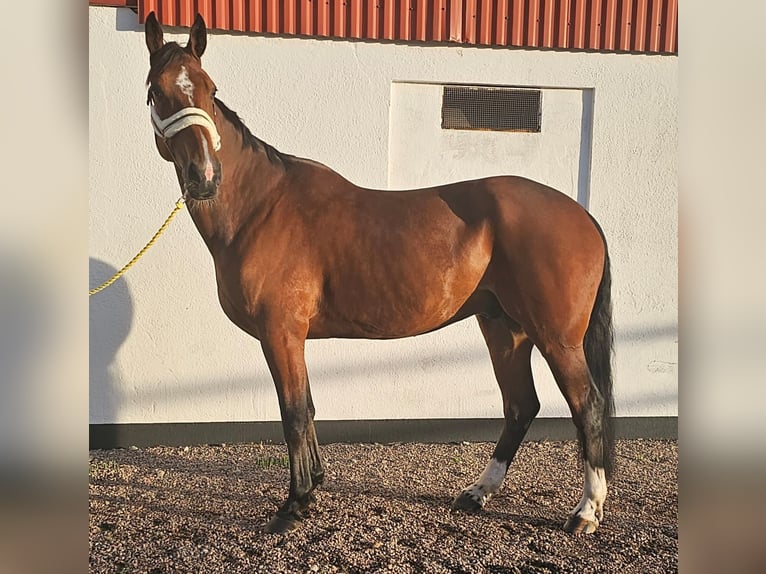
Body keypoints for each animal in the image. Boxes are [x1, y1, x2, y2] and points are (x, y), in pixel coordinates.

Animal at [144, 11, 616, 536]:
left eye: (209, 88)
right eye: (157, 91)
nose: (204, 176)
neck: (260, 206)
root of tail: (582, 215)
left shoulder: (280, 332)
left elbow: (293, 413)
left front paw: (294, 504)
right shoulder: (292, 336)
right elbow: (308, 408)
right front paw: (313, 488)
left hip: (557, 339)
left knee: (587, 407)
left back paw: (586, 511)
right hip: (504, 329)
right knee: (520, 406)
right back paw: (477, 494)